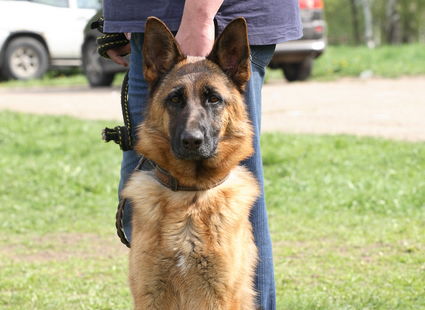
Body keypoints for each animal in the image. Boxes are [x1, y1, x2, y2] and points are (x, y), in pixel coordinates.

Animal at [119, 16, 258, 310]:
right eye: (174, 99)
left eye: (213, 99)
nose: (192, 141)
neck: (190, 196)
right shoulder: (151, 294)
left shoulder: (217, 297)